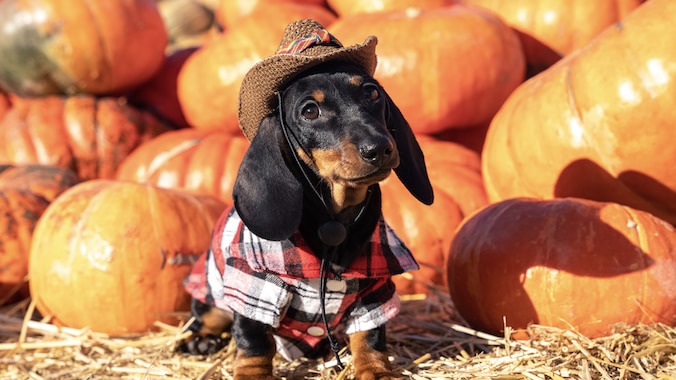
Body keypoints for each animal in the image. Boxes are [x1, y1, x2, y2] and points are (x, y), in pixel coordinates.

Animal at [181, 18, 434, 380]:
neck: (334, 220)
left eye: (372, 93)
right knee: (208, 316)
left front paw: (376, 370)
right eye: (310, 111)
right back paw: (198, 340)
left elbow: (369, 336)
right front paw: (252, 374)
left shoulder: (374, 288)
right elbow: (254, 342)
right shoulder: (253, 284)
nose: (379, 149)